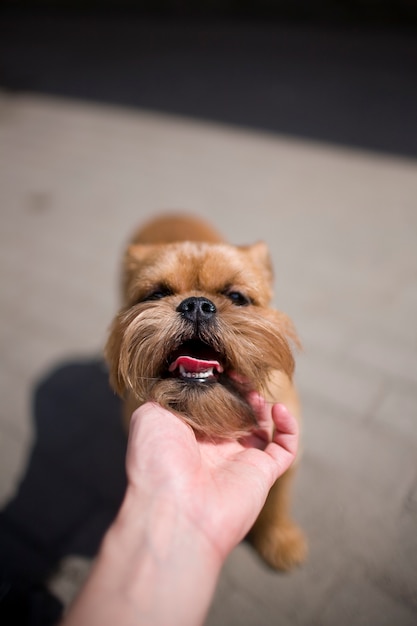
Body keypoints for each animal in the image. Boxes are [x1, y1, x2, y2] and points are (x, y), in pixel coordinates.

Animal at [105, 212, 306, 568]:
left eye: (237, 297)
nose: (196, 304)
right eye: (156, 294)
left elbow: (278, 499)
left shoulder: (289, 459)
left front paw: (279, 537)